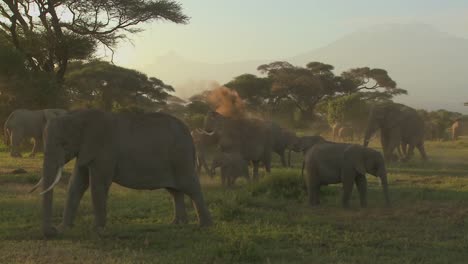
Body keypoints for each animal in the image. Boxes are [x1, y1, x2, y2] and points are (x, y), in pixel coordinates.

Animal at [32, 109, 214, 237]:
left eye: (64, 144)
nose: (52, 231)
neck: (78, 115)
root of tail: (189, 133)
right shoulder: (86, 151)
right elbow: (76, 184)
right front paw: (64, 229)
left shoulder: (103, 151)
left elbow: (98, 185)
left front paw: (97, 231)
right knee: (175, 191)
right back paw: (177, 224)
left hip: (180, 157)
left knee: (191, 187)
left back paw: (204, 226)